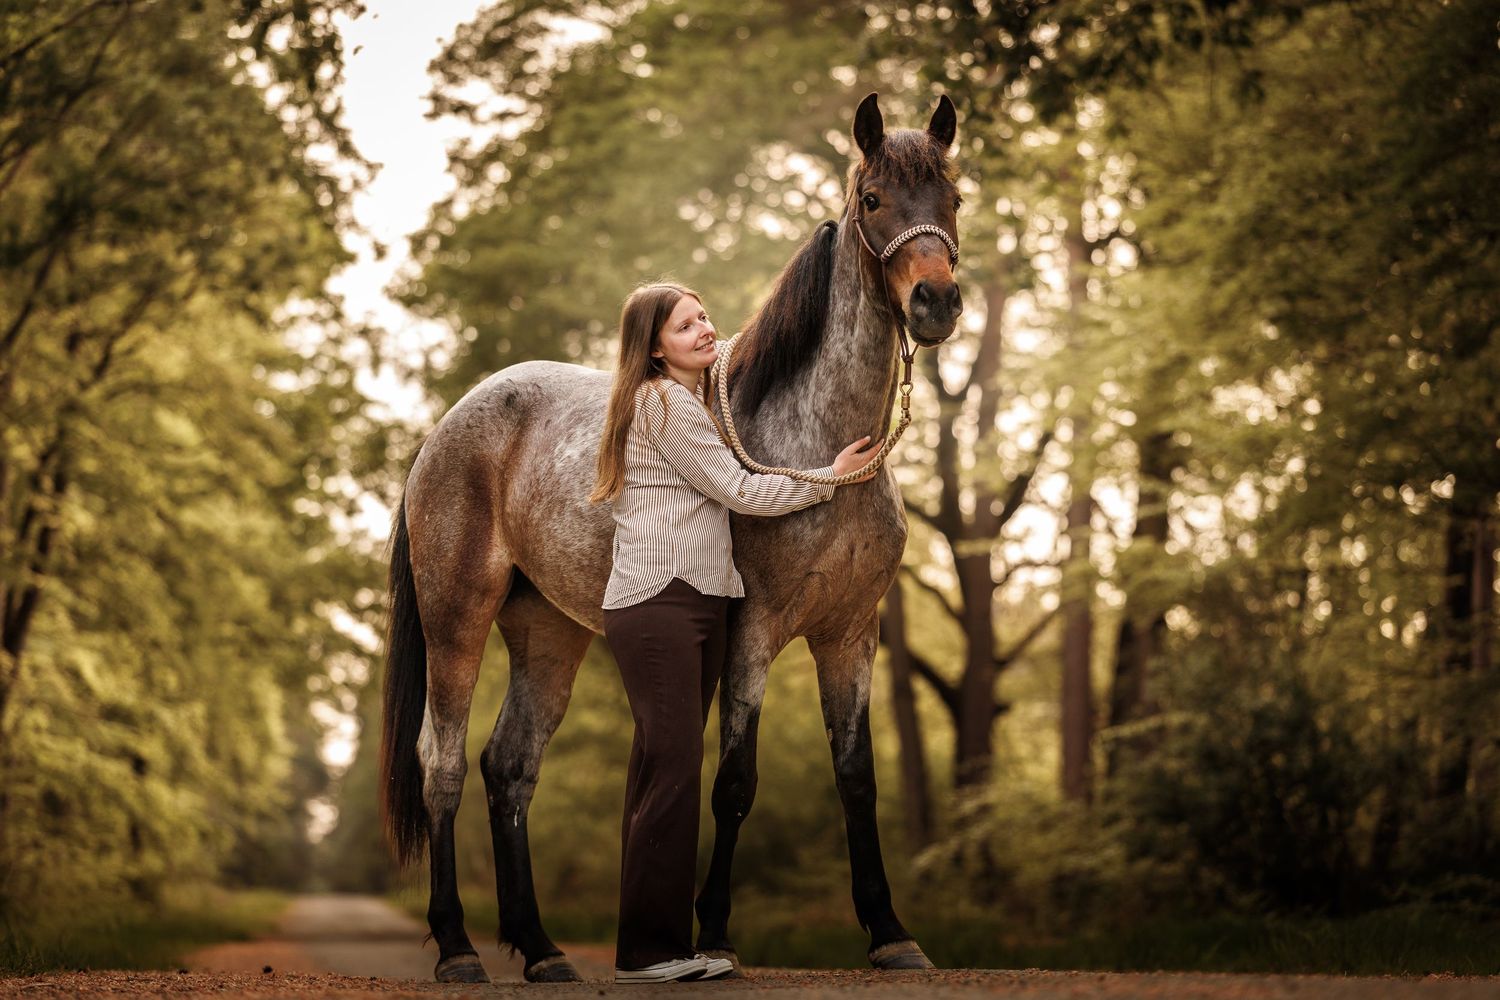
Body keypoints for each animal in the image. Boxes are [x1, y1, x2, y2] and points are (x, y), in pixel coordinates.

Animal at [379, 91, 965, 984]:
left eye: (954, 199)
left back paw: (542, 951)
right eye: (873, 200)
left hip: (546, 632)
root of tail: (446, 430)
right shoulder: (753, 632)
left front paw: (891, 934)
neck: (819, 447)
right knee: (440, 764)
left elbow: (857, 778)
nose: (936, 303)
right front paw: (715, 932)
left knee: (509, 768)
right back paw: (457, 949)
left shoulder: (849, 635)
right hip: (457, 621)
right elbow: (734, 781)